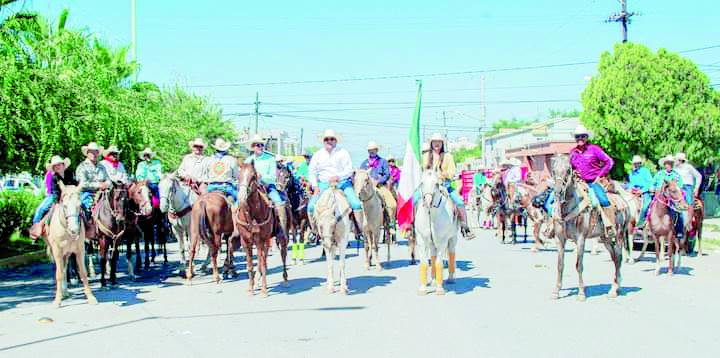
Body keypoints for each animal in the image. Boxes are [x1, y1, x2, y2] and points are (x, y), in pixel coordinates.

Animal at [235, 163, 288, 296]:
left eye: (253, 176)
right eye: (238, 176)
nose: (242, 197)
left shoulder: (260, 240)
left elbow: (263, 264)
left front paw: (264, 291)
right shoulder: (246, 242)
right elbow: (250, 265)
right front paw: (251, 288)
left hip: (281, 236)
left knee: (283, 254)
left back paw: (285, 280)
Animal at [548, 155, 628, 300]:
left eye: (568, 170)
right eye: (553, 170)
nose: (558, 191)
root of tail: (623, 201)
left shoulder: (580, 238)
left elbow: (579, 265)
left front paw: (581, 293)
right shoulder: (559, 239)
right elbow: (560, 265)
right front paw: (556, 291)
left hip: (619, 235)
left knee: (619, 258)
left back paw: (614, 290)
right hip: (606, 239)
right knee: (614, 258)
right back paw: (617, 285)